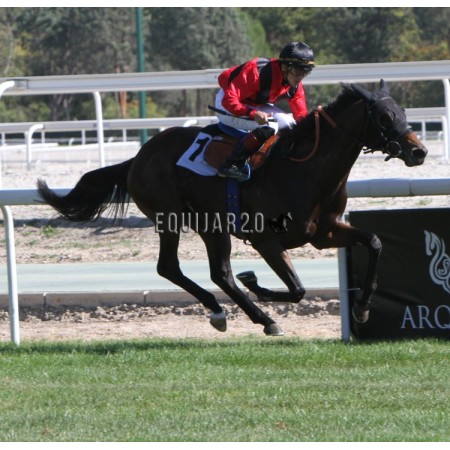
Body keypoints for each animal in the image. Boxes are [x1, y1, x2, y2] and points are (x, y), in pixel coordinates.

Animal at [36, 79, 427, 337]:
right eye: (383, 117)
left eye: (403, 111)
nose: (419, 151)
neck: (306, 169)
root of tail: (138, 157)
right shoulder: (267, 239)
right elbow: (297, 289)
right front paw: (256, 282)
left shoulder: (325, 232)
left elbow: (374, 242)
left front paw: (361, 308)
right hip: (171, 218)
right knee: (171, 267)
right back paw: (250, 316)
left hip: (211, 226)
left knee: (217, 273)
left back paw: (232, 313)